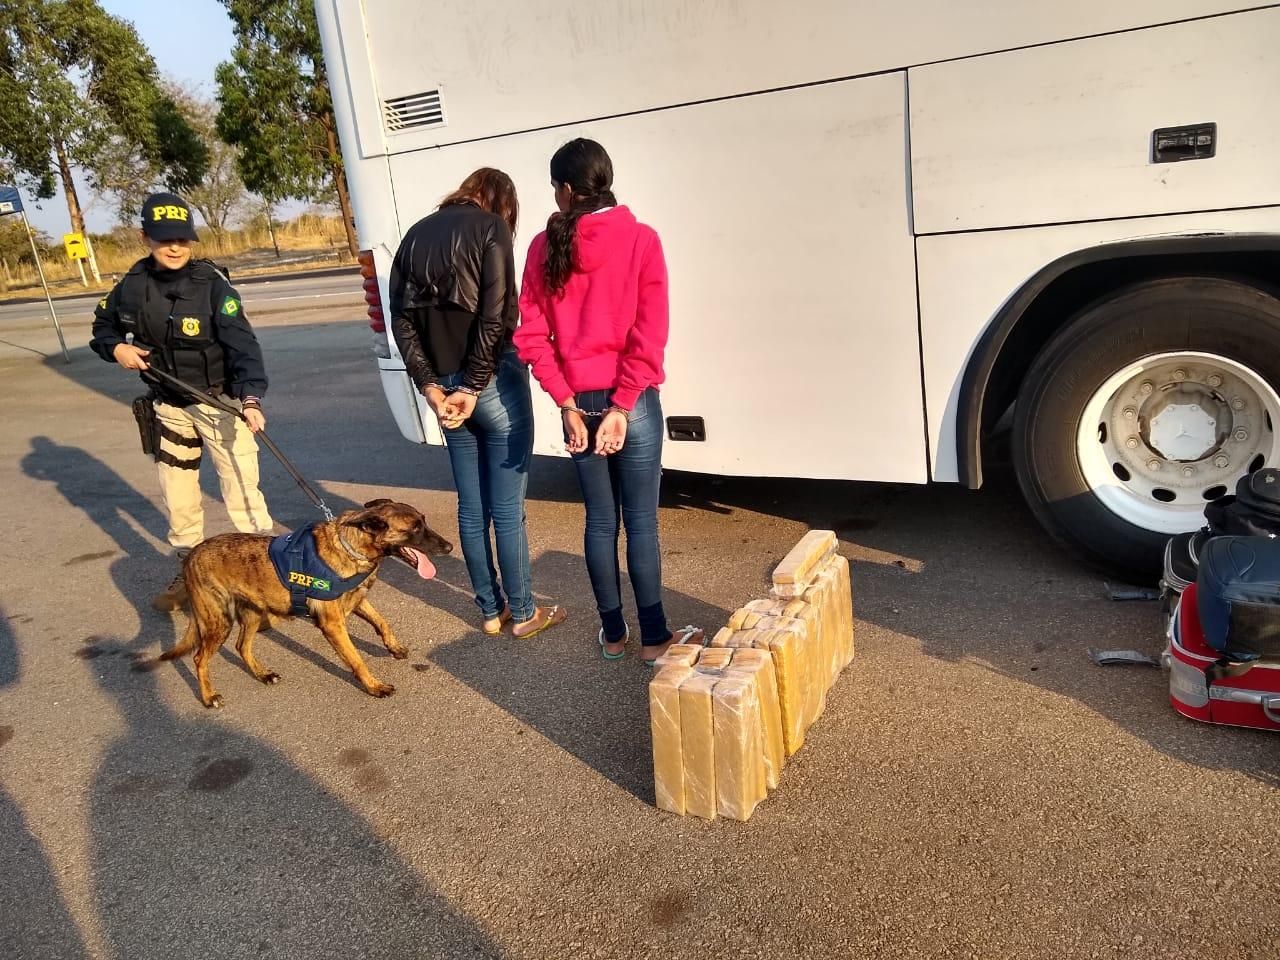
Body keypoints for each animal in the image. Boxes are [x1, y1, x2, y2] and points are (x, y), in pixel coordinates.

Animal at [159, 499, 453, 711]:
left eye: (424, 522)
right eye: (414, 528)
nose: (450, 547)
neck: (351, 546)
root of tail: (191, 555)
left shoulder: (358, 601)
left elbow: (382, 622)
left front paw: (393, 647)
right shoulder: (333, 624)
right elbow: (356, 659)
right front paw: (373, 686)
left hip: (251, 613)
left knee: (242, 646)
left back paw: (262, 674)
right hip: (218, 622)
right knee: (200, 658)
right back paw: (209, 696)